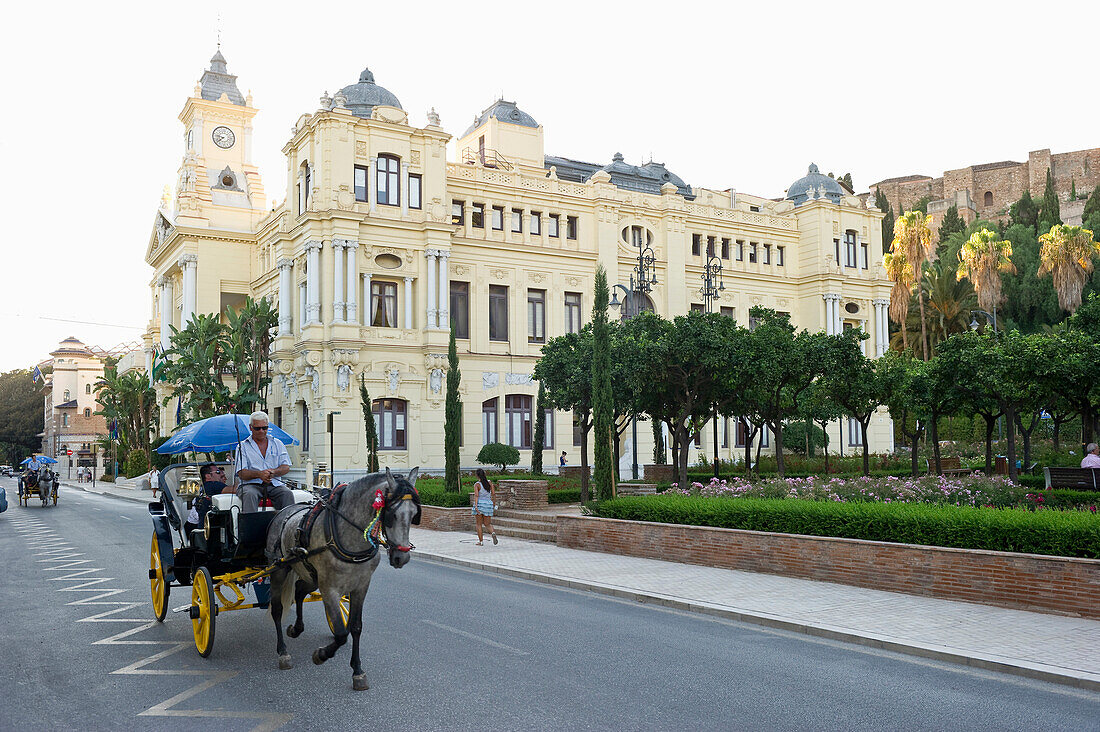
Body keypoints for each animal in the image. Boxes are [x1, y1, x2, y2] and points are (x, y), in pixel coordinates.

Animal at [266, 468, 420, 691]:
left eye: (414, 514)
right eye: (391, 515)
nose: (402, 557)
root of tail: (284, 511)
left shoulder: (361, 586)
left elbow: (355, 627)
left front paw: (357, 671)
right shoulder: (329, 589)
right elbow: (340, 633)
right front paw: (321, 654)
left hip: (310, 573)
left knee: (300, 590)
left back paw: (296, 629)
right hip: (279, 569)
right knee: (277, 609)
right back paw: (283, 652)